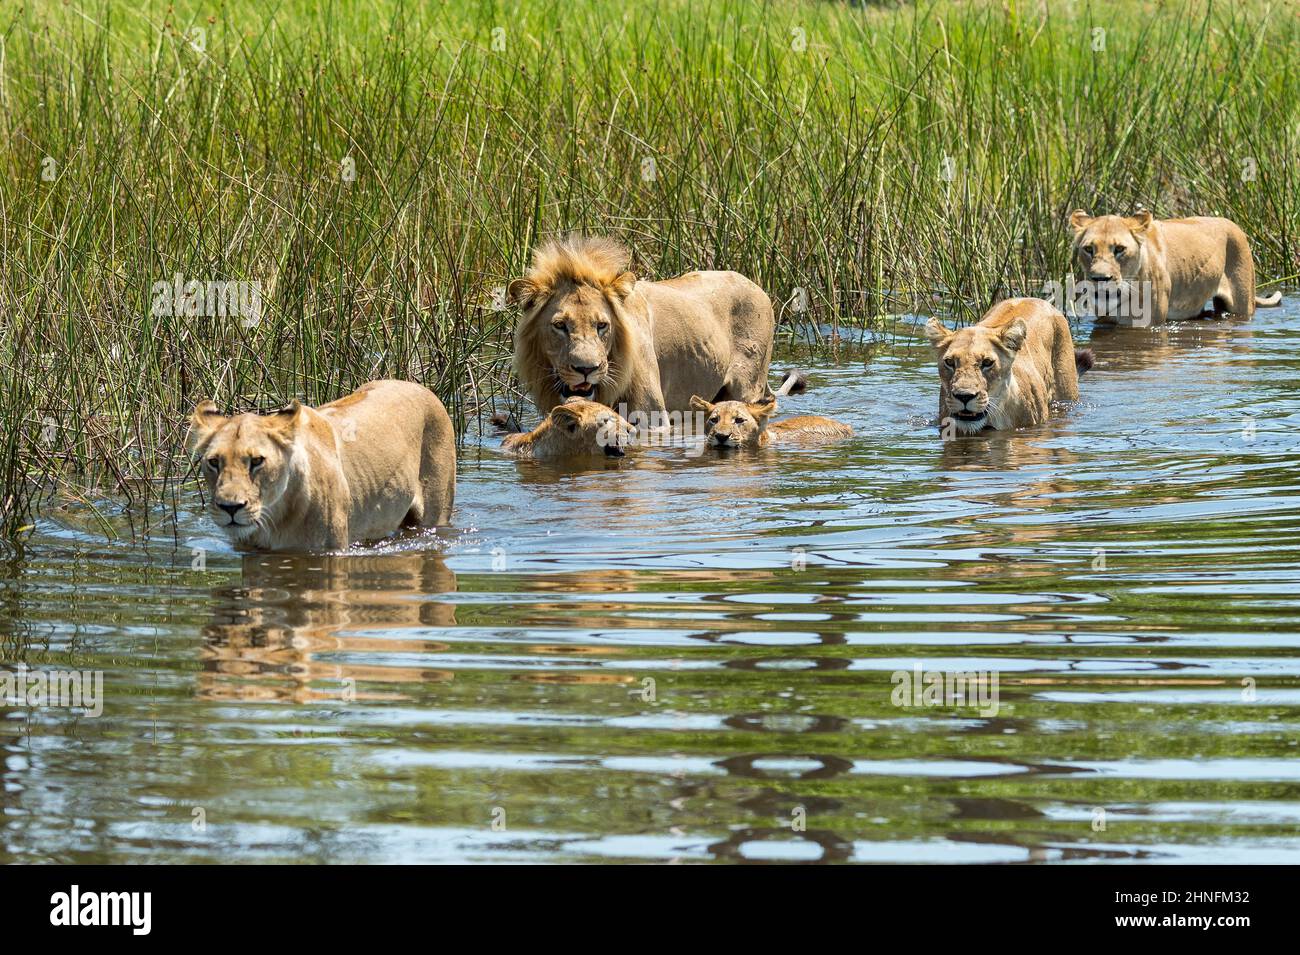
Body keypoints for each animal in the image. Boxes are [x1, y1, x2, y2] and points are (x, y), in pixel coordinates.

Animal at [188, 376, 457, 548]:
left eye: (256, 461)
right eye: (214, 462)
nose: (230, 508)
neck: (276, 516)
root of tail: (420, 387)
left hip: (436, 512)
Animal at [506, 235, 769, 418]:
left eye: (602, 325)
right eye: (560, 325)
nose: (586, 369)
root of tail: (755, 285)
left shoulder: (652, 417)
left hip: (748, 386)